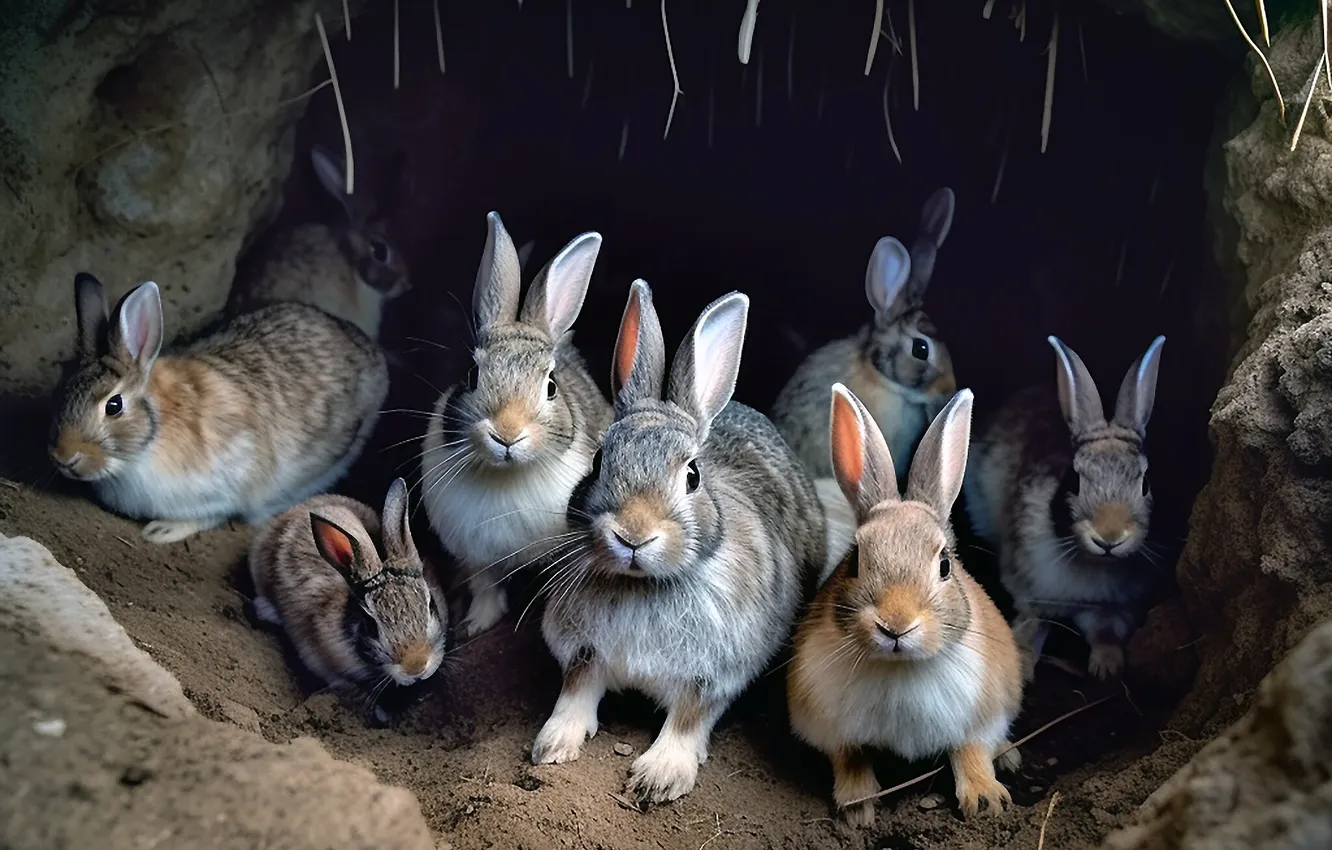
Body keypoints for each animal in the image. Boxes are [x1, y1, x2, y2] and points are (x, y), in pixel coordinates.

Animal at [50, 273, 387, 544]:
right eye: (62, 388)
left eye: (114, 406)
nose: (63, 457)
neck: (153, 433)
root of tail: (371, 353)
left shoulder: (230, 480)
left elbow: (213, 514)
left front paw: (161, 531)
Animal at [421, 211, 612, 637]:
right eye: (472, 375)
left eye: (551, 386)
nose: (506, 434)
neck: (505, 476)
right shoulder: (478, 557)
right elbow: (486, 588)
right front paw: (476, 625)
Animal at [533, 281, 828, 806]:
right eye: (598, 461)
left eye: (692, 475)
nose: (633, 534)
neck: (642, 586)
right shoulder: (584, 652)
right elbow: (576, 692)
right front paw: (551, 746)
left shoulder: (711, 674)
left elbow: (689, 719)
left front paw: (658, 778)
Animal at [788, 384, 1023, 826]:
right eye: (855, 561)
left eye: (945, 564)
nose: (895, 625)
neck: (899, 668)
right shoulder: (832, 725)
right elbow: (850, 757)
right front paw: (857, 808)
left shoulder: (980, 715)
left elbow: (970, 750)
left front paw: (986, 801)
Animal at [963, 335, 1168, 681]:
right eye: (1073, 480)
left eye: (1145, 484)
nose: (1109, 538)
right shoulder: (1033, 591)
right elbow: (1033, 625)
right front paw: (1022, 666)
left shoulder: (1114, 609)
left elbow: (1105, 634)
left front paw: (1107, 668)